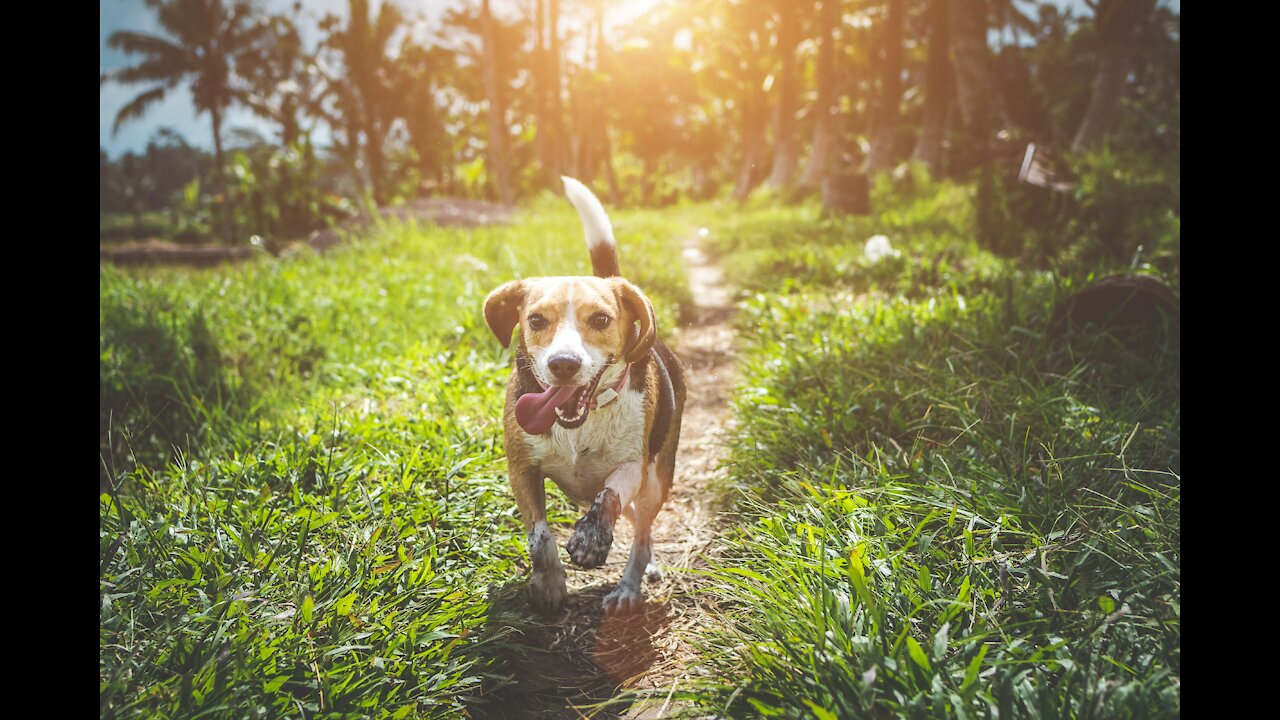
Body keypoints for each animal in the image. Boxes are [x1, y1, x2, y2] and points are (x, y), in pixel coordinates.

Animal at [481, 176, 686, 614]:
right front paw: (549, 583)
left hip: (657, 480)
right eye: (535, 320)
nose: (564, 364)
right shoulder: (521, 469)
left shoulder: (632, 466)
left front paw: (591, 539)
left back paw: (629, 585)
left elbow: (608, 496)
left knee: (640, 533)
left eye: (602, 319)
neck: (581, 422)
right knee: (638, 528)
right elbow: (540, 536)